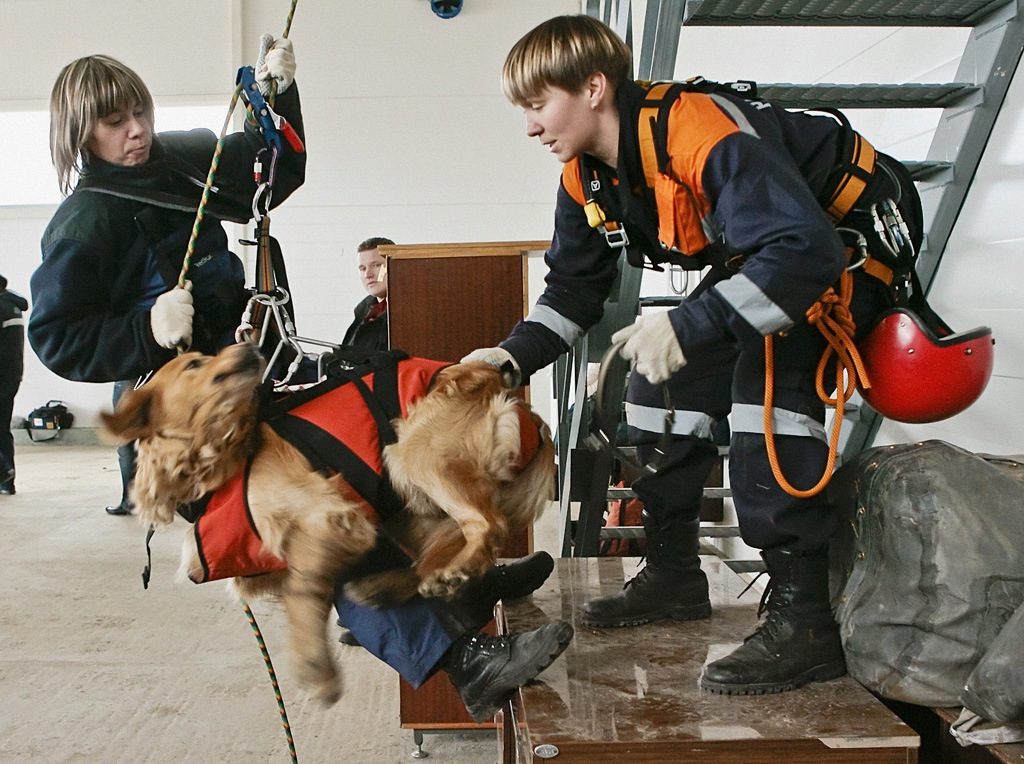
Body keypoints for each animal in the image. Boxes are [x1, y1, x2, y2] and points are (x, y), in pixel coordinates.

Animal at [99, 344, 557, 700]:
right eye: (194, 364)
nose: (249, 348)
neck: (226, 452)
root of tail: (521, 407)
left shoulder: (330, 516)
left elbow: (302, 592)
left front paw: (313, 665)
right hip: (406, 501)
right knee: (429, 556)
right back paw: (396, 585)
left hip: (413, 452)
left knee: (486, 525)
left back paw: (453, 573)